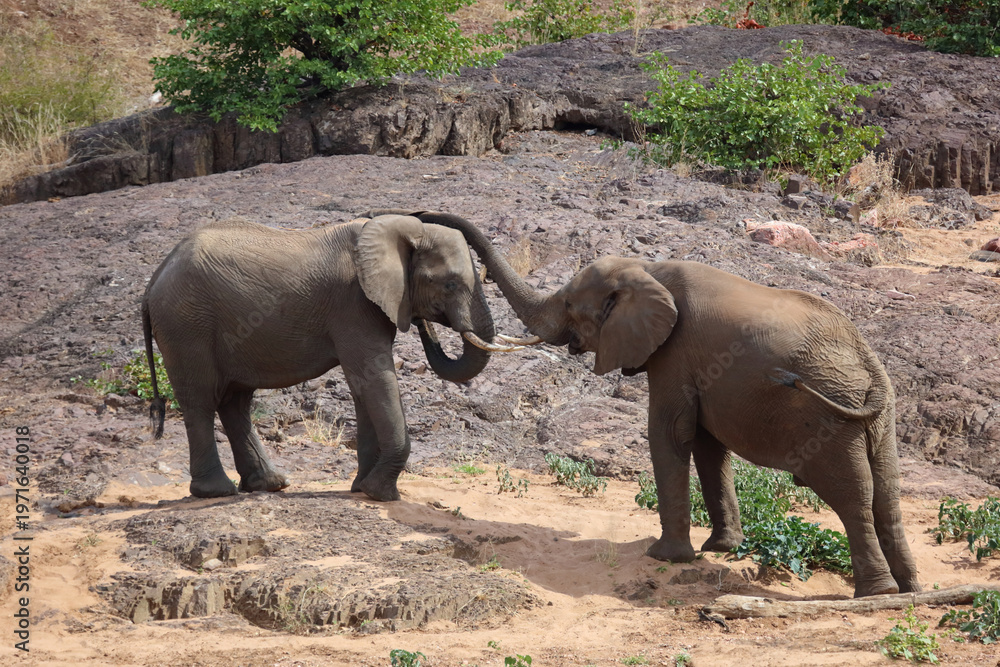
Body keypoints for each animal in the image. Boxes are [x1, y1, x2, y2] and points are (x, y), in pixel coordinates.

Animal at [141, 214, 520, 501]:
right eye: (450, 285)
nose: (423, 321)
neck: (400, 230)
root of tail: (154, 279)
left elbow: (363, 384)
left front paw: (361, 488)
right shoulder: (353, 306)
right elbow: (376, 378)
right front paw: (382, 494)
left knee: (235, 402)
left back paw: (270, 484)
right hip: (186, 325)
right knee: (201, 400)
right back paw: (216, 492)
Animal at [375, 210, 920, 598]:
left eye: (570, 306)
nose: (419, 213)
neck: (647, 269)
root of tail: (870, 365)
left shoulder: (675, 352)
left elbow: (671, 433)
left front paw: (666, 558)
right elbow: (707, 444)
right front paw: (721, 550)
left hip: (828, 416)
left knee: (852, 496)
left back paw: (875, 593)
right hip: (879, 417)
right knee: (887, 492)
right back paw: (908, 590)